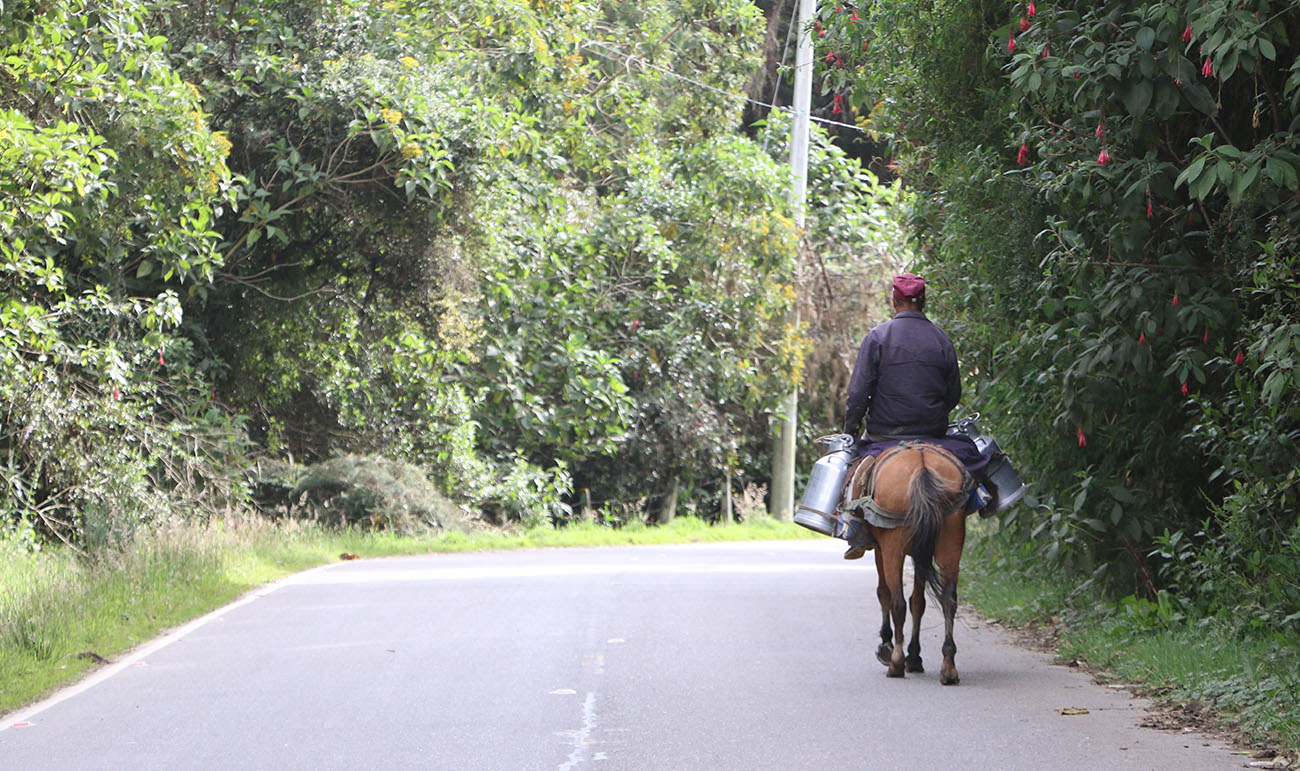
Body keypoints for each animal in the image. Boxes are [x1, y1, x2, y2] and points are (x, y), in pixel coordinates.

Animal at [847, 442, 972, 681]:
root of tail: (922, 464)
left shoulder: (881, 548)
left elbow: (885, 593)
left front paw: (887, 647)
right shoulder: (920, 553)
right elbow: (918, 602)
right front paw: (914, 657)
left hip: (893, 545)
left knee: (898, 602)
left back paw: (895, 662)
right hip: (951, 535)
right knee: (948, 599)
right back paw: (948, 667)